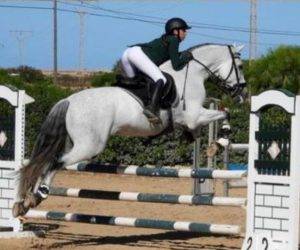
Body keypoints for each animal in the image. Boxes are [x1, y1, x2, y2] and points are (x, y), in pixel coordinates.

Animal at [12, 43, 246, 217]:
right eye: (241, 65)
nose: (242, 93)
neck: (191, 73)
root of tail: (68, 100)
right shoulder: (195, 115)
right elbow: (225, 114)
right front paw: (219, 144)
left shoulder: (190, 121)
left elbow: (200, 129)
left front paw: (208, 145)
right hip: (90, 146)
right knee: (55, 163)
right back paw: (38, 195)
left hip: (72, 142)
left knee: (43, 163)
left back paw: (24, 203)